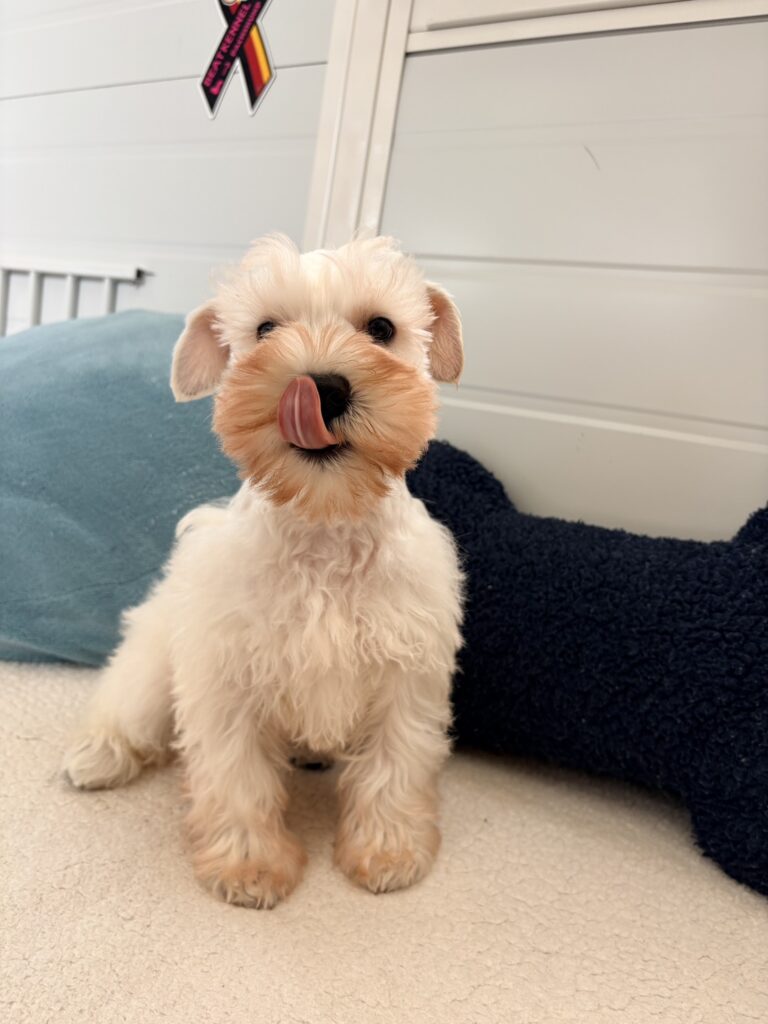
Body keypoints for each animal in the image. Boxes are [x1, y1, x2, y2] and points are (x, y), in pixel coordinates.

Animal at [63, 235, 465, 908]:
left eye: (382, 329)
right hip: (151, 665)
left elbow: (394, 766)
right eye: (266, 329)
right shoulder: (227, 679)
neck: (323, 520)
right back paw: (96, 756)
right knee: (123, 709)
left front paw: (387, 851)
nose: (322, 386)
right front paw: (250, 865)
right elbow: (237, 778)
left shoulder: (406, 674)